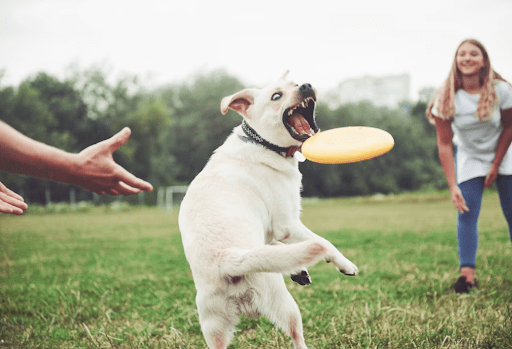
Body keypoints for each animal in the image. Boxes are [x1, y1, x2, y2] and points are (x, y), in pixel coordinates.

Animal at [178, 72, 358, 346]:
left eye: (295, 84)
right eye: (276, 96)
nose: (306, 85)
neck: (262, 143)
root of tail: (227, 260)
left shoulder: (270, 230)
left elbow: (276, 247)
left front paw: (298, 269)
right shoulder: (287, 224)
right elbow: (324, 243)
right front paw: (345, 264)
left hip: (213, 326)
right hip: (282, 301)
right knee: (297, 336)